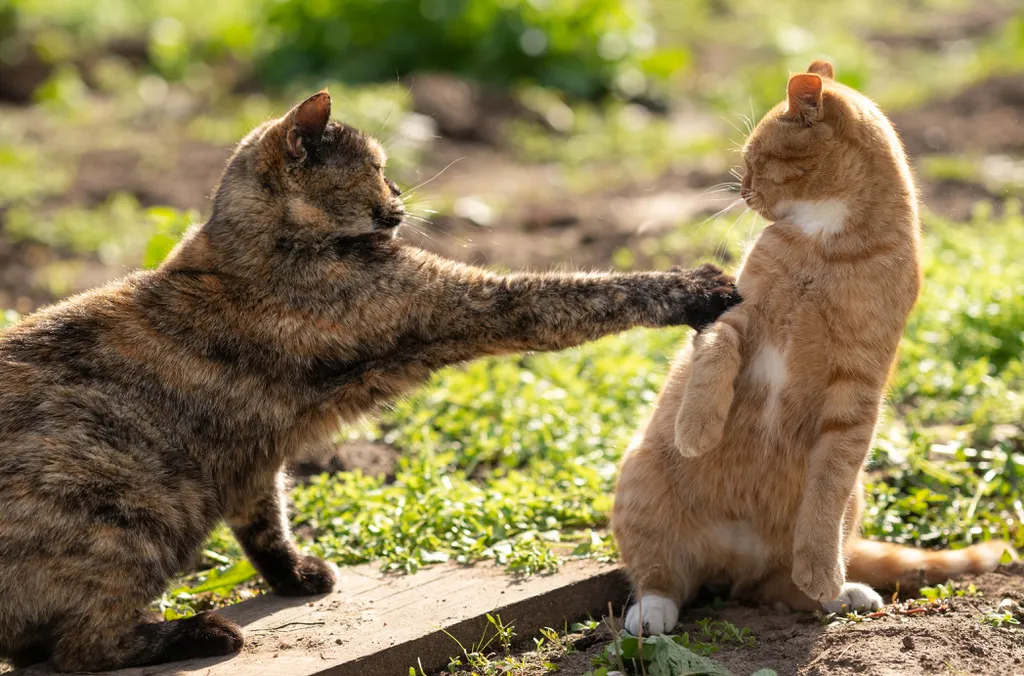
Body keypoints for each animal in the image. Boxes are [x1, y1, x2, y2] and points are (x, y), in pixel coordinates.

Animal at [0, 92, 737, 671]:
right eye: (377, 169)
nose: (399, 197)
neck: (249, 247)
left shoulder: (255, 456)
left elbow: (266, 518)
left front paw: (296, 576)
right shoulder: (469, 301)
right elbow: (585, 294)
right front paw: (698, 287)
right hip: (132, 508)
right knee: (77, 649)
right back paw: (201, 633)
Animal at [610, 60, 1011, 635]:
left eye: (756, 160)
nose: (743, 190)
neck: (826, 245)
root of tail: (735, 562)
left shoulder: (856, 389)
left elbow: (824, 497)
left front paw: (823, 573)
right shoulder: (734, 315)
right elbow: (713, 359)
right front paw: (697, 430)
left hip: (848, 503)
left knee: (781, 584)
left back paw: (841, 591)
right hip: (641, 486)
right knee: (663, 578)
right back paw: (652, 612)